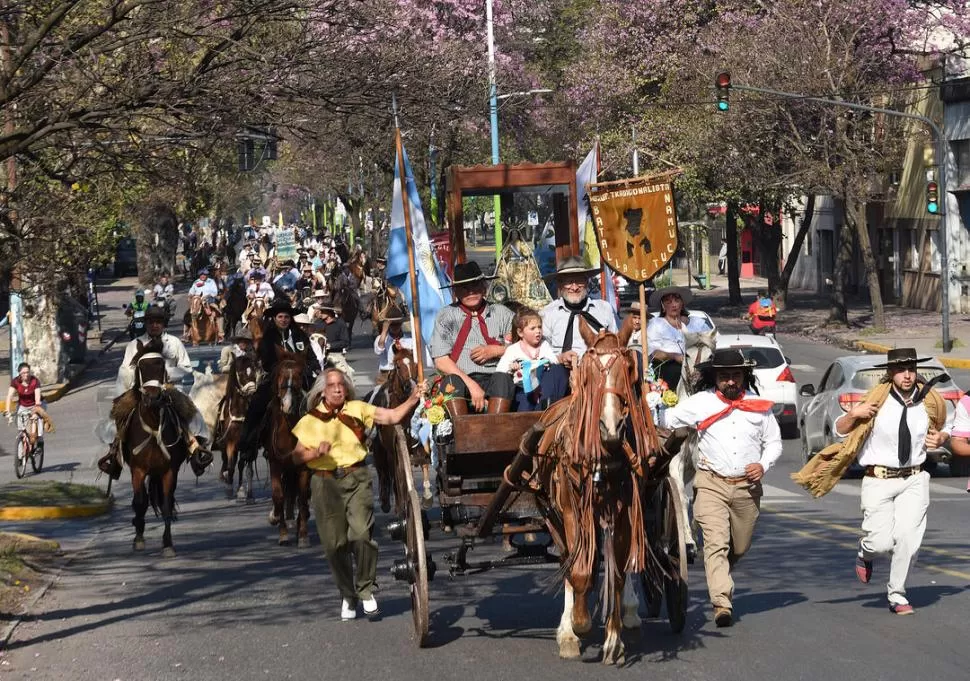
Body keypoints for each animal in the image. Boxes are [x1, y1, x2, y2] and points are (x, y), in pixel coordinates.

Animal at [119, 340, 191, 556]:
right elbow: (139, 502)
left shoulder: (169, 470)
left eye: (161, 366)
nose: (153, 397)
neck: (152, 423)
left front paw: (167, 543)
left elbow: (166, 505)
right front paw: (138, 538)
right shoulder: (138, 470)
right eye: (141, 367)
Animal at [212, 354, 258, 502]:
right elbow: (232, 465)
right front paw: (229, 489)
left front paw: (245, 492)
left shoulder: (250, 445)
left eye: (254, 371)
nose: (253, 392)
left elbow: (245, 467)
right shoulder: (231, 443)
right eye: (241, 373)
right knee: (226, 460)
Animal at [260, 350, 310, 548]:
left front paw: (302, 535)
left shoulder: (303, 467)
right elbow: (279, 496)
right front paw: (282, 533)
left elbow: (302, 497)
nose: (287, 405)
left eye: (299, 375)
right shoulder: (276, 463)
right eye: (280, 374)